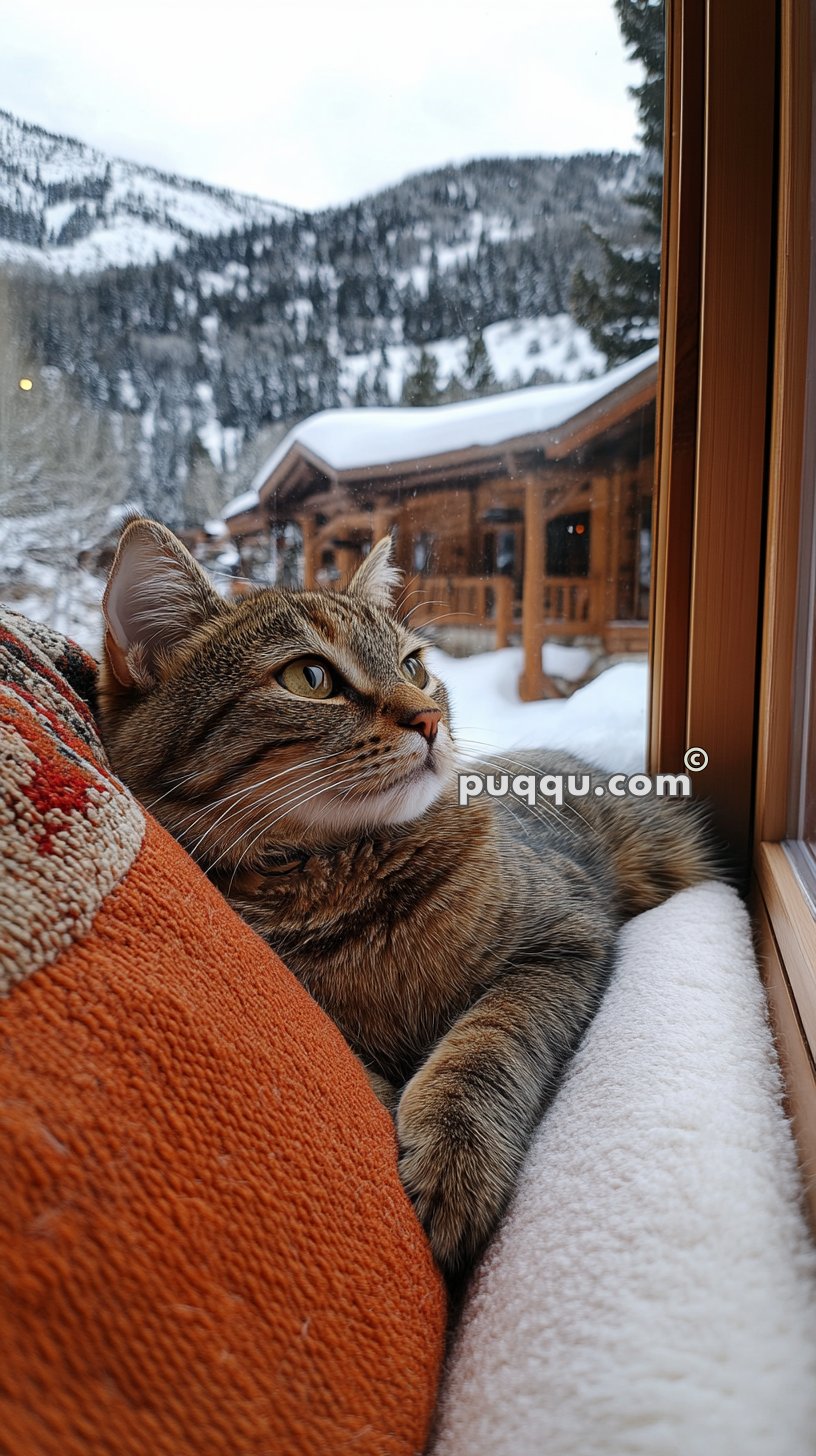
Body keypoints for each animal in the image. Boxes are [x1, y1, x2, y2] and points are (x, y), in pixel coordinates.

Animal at [99, 521, 716, 1275]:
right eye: (310, 677)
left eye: (416, 667)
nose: (428, 719)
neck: (351, 879)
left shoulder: (566, 935)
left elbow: (485, 1044)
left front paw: (456, 1148)